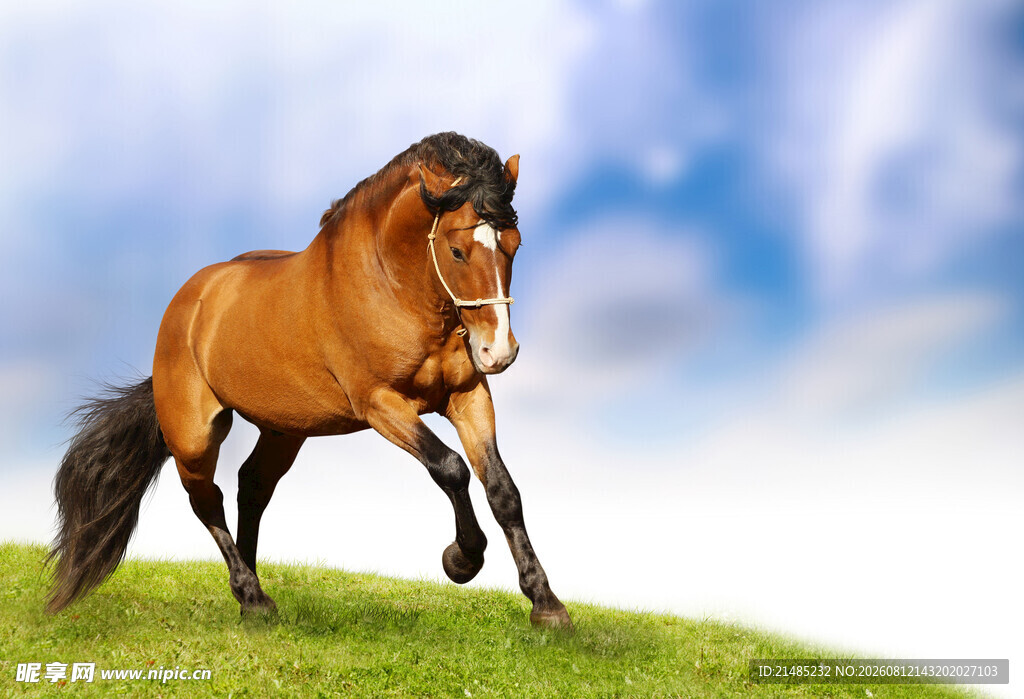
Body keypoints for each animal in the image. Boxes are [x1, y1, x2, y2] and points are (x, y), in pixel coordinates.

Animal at [47, 132, 572, 629]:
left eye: (514, 245)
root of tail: (187, 302)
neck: (392, 287)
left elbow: (503, 489)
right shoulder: (380, 403)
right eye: (458, 251)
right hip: (194, 435)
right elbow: (450, 467)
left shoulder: (467, 396)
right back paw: (253, 597)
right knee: (207, 500)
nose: (498, 352)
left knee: (252, 487)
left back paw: (250, 594)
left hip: (283, 429)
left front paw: (547, 606)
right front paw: (461, 560)